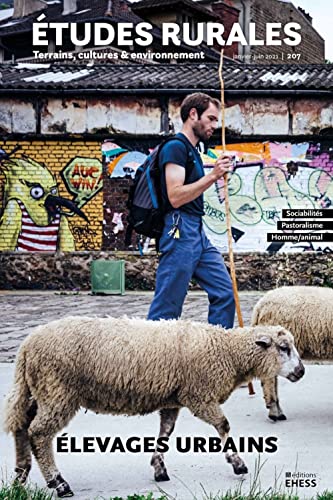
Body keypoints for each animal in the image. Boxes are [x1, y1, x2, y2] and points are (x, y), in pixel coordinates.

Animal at [3, 316, 304, 496]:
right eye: (284, 348)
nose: (301, 372)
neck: (226, 352)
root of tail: (27, 346)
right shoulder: (200, 396)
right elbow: (223, 426)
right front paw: (238, 464)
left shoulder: (173, 399)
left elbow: (165, 434)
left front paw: (159, 469)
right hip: (57, 391)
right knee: (39, 435)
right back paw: (59, 482)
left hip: (39, 391)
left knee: (22, 428)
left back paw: (20, 476)